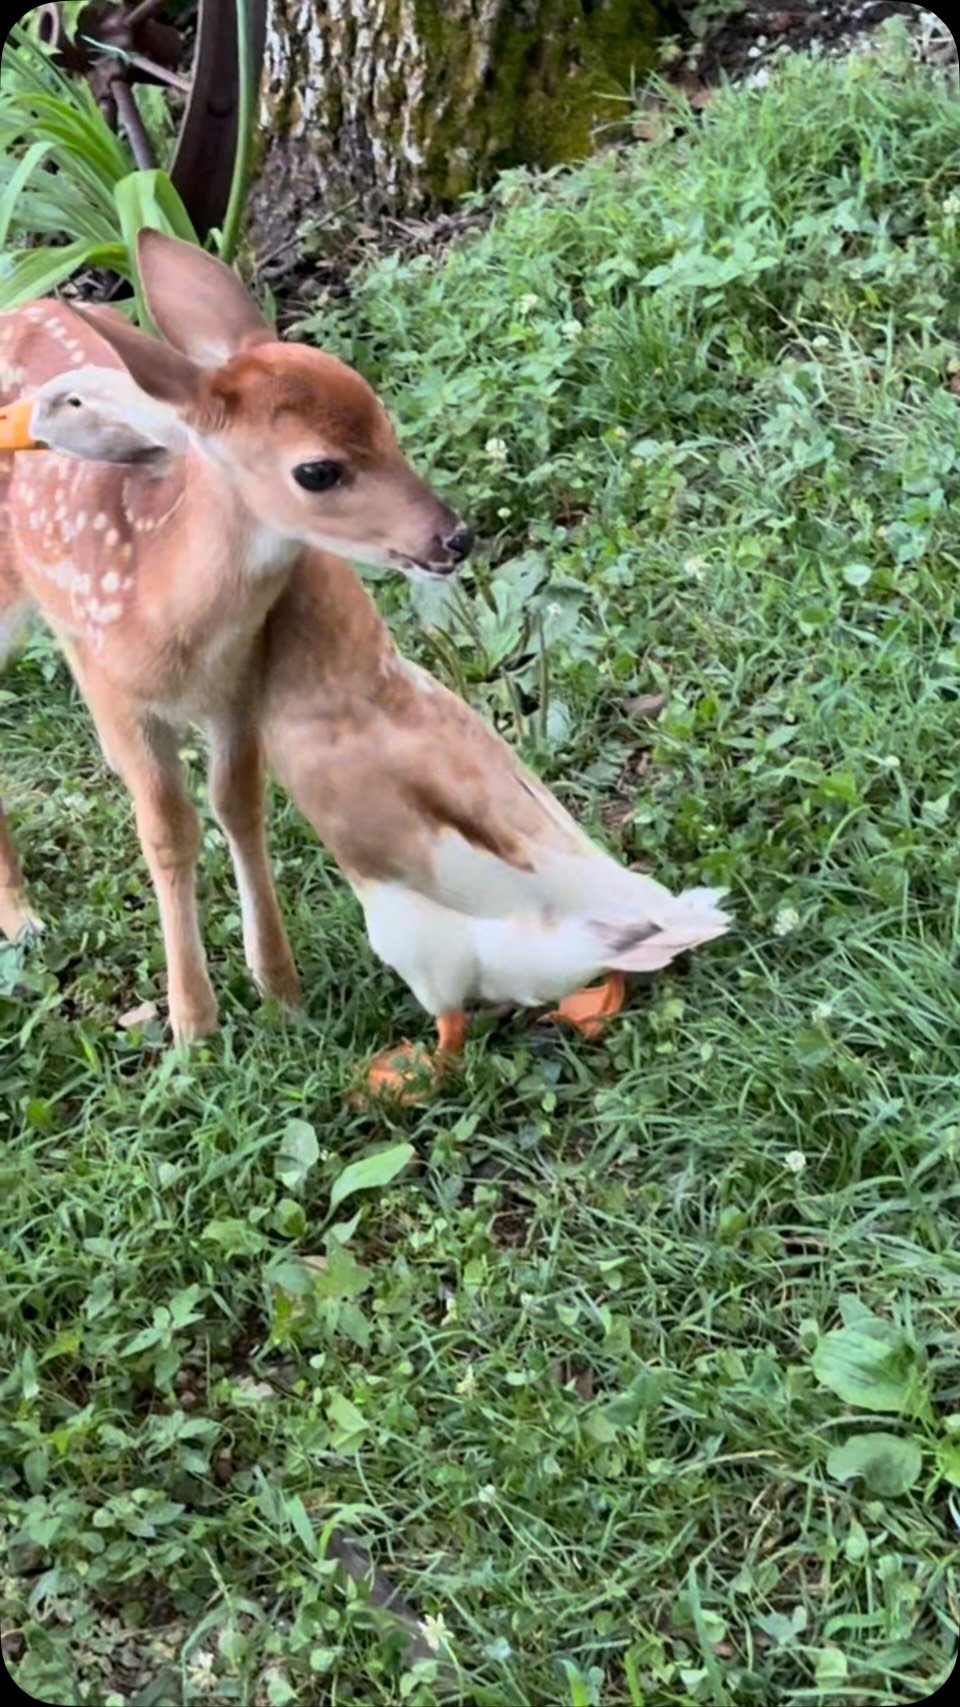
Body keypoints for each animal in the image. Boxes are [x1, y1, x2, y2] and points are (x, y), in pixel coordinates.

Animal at [0, 231, 471, 1042]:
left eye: (383, 417)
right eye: (317, 471)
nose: (453, 537)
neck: (168, 619)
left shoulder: (238, 690)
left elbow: (239, 808)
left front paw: (280, 990)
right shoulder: (125, 695)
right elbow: (168, 831)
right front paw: (193, 1024)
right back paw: (21, 918)